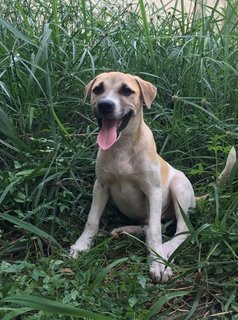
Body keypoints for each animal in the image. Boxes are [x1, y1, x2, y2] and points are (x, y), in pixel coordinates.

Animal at [70, 72, 236, 282]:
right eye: (98, 89)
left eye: (127, 91)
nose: (105, 105)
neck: (122, 147)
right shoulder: (100, 186)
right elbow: (92, 219)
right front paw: (82, 245)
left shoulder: (153, 191)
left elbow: (156, 231)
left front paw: (158, 262)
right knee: (150, 227)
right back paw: (127, 231)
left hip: (179, 188)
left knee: (179, 229)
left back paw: (165, 249)